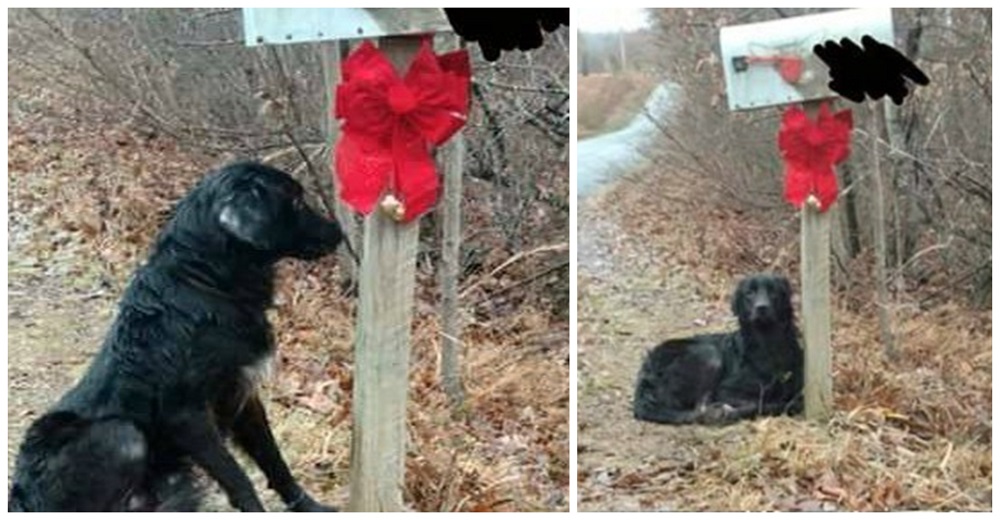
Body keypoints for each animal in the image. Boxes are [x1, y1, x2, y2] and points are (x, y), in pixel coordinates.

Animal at [7, 162, 346, 512]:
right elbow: (237, 477)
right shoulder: (186, 415)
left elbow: (273, 459)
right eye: (295, 202)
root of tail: (21, 496)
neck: (205, 283)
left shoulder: (242, 393)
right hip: (122, 436)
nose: (340, 233)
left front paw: (308, 505)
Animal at [632, 274, 804, 424]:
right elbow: (761, 403)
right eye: (749, 293)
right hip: (709, 354)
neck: (767, 342)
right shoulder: (725, 390)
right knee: (699, 409)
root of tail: (646, 369)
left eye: (773, 291)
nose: (762, 307)